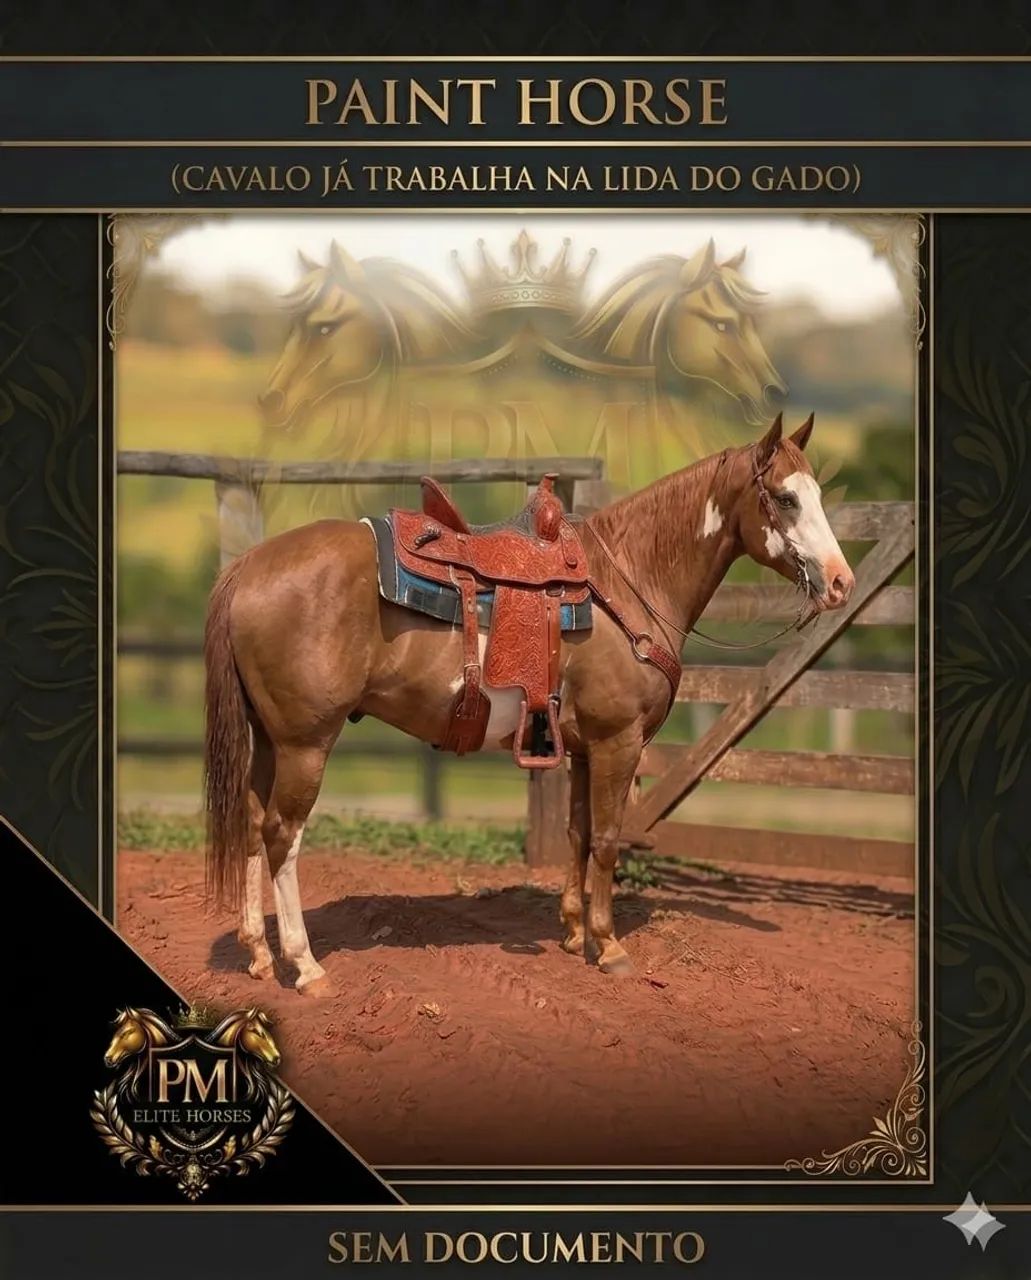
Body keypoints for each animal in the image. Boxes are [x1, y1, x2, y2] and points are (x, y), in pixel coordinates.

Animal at [202, 413, 854, 995]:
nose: (841, 583)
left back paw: (258, 954)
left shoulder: (585, 749)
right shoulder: (618, 741)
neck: (628, 583)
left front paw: (573, 933)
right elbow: (608, 838)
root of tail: (248, 567)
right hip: (306, 743)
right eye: (786, 499)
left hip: (270, 740)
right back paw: (304, 965)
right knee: (283, 834)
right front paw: (609, 946)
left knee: (253, 824)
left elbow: (577, 832)